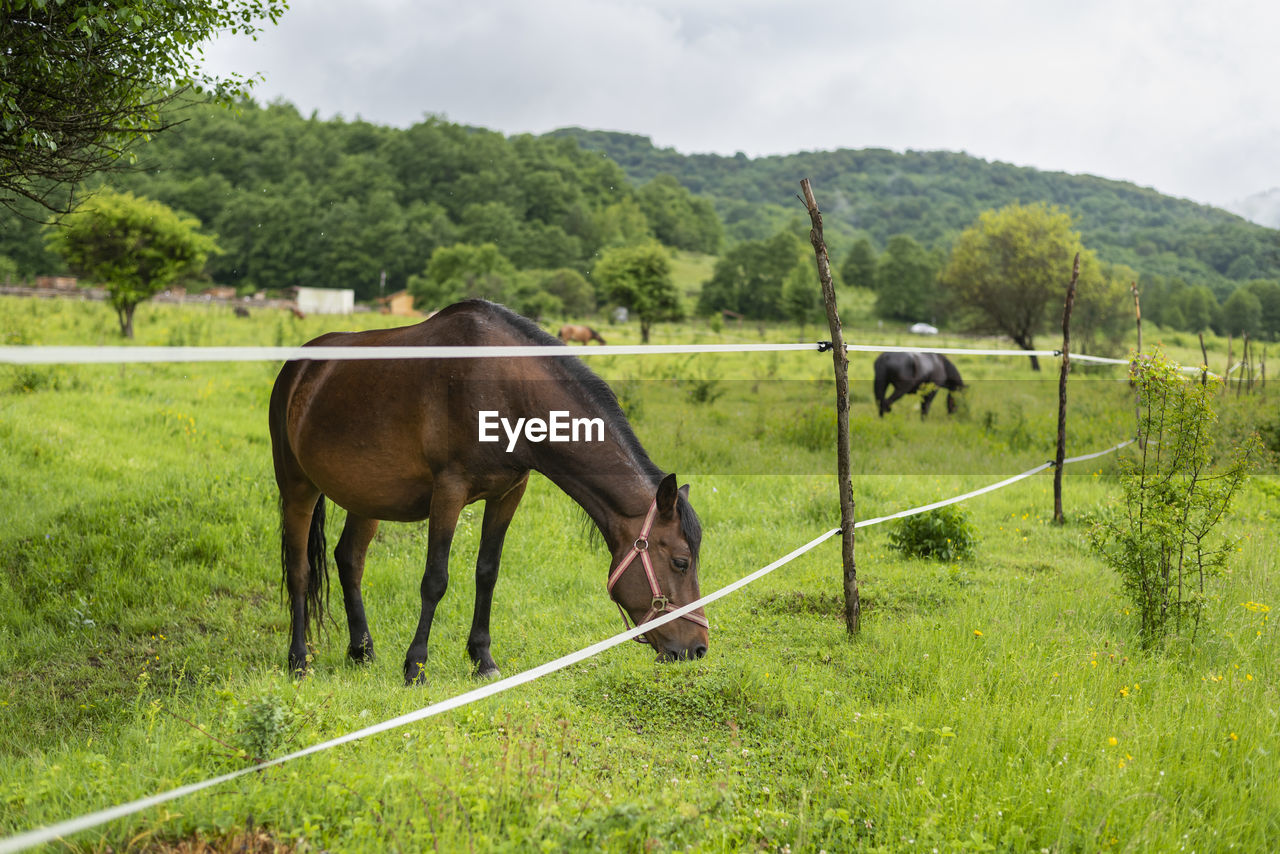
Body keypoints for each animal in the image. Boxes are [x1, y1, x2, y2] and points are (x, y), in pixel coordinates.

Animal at [271, 297, 711, 686]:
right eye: (681, 562)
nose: (699, 649)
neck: (506, 389)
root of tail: (298, 367)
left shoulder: (508, 494)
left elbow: (487, 572)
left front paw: (482, 659)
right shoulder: (449, 492)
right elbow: (435, 579)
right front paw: (416, 667)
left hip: (367, 498)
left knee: (350, 560)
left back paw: (362, 651)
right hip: (297, 487)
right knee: (300, 570)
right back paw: (298, 661)